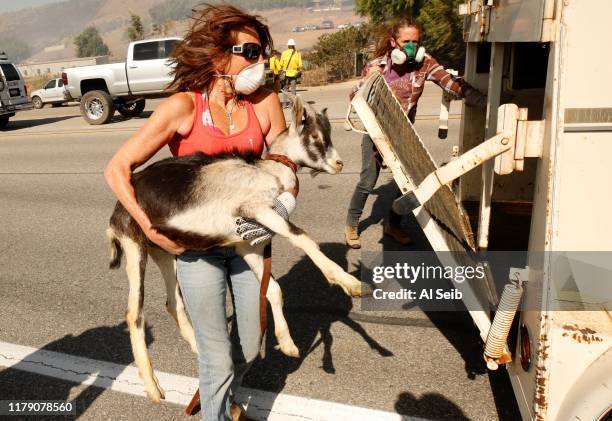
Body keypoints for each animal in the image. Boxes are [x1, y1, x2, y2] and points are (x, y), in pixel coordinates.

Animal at [106, 95, 364, 400]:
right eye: (314, 136)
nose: (339, 163)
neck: (267, 171)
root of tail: (116, 215)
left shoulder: (245, 244)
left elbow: (273, 289)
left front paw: (288, 344)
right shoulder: (256, 209)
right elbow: (303, 238)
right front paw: (350, 283)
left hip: (163, 252)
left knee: (173, 302)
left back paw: (198, 350)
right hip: (135, 247)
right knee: (134, 313)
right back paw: (152, 386)